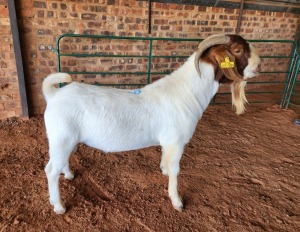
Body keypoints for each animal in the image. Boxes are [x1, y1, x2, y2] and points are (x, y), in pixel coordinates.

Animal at [42, 34, 260, 214]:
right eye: (238, 51)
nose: (258, 66)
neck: (187, 91)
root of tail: (54, 95)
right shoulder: (176, 142)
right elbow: (175, 170)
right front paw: (177, 201)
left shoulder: (168, 142)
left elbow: (165, 161)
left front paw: (163, 171)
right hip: (61, 138)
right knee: (51, 170)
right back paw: (59, 206)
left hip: (68, 140)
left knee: (63, 161)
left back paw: (69, 175)